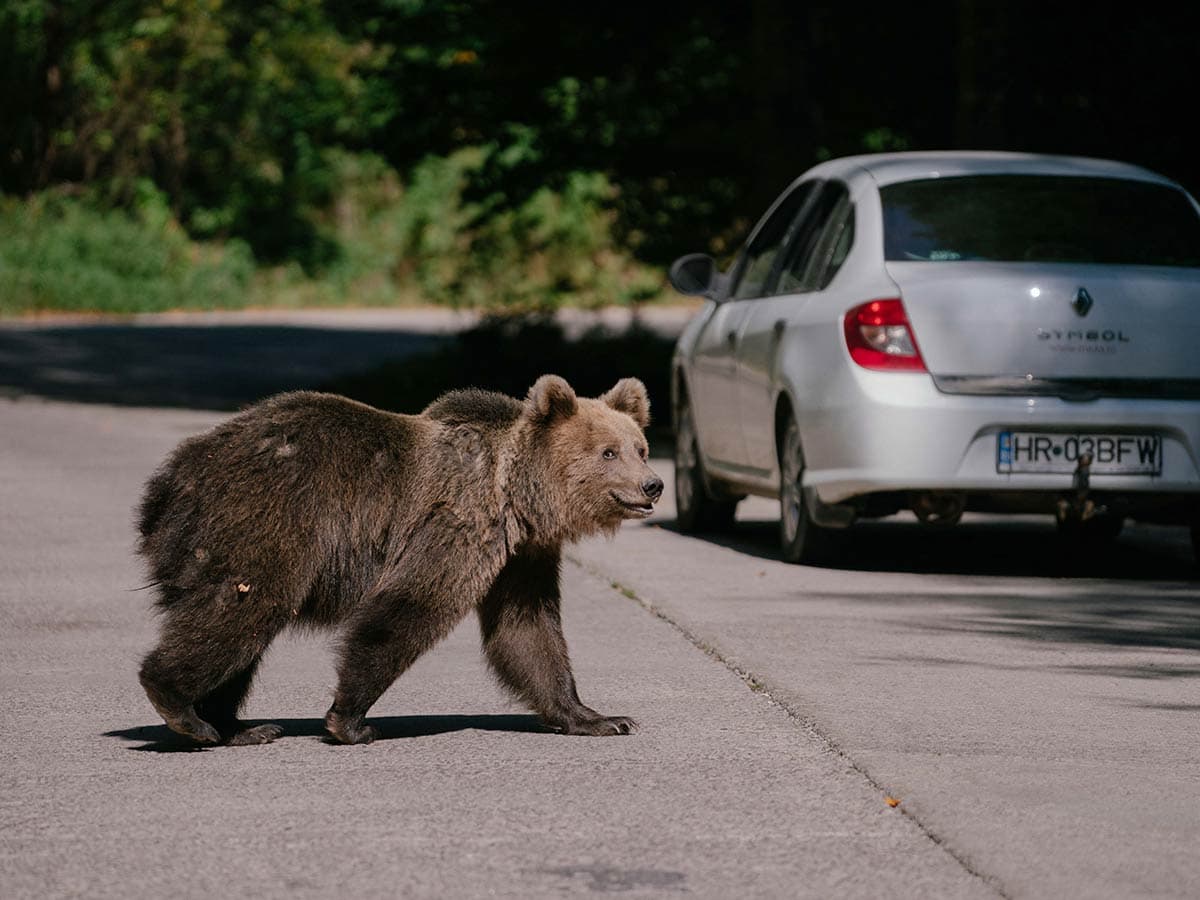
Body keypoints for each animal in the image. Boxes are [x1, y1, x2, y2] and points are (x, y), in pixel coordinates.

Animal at [135, 374, 663, 746]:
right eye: (608, 452)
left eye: (640, 447)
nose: (653, 484)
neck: (515, 498)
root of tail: (171, 478)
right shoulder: (457, 522)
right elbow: (411, 606)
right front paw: (350, 721)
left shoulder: (520, 557)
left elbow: (527, 630)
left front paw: (600, 718)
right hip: (267, 518)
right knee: (242, 609)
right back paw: (182, 708)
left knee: (242, 628)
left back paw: (237, 726)